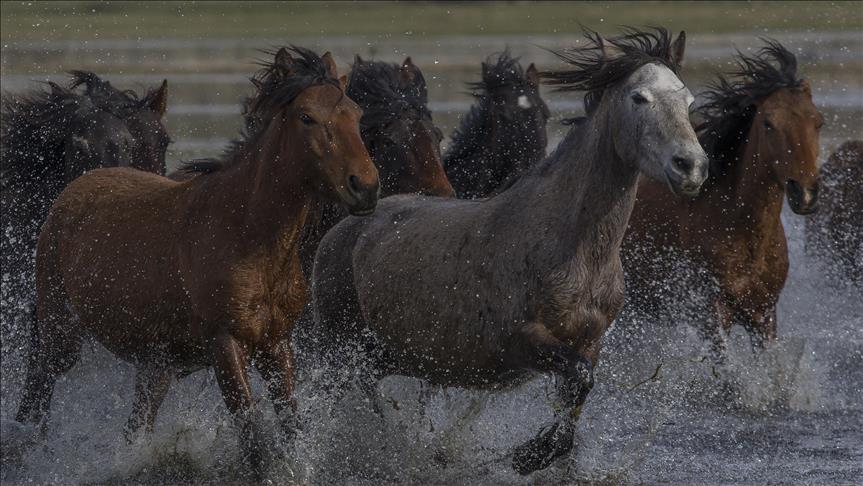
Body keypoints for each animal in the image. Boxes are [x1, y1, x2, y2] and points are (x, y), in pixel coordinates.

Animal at [15, 46, 380, 474]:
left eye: (355, 113)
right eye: (307, 117)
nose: (365, 186)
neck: (249, 237)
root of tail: (70, 195)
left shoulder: (277, 345)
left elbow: (291, 428)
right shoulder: (225, 344)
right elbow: (254, 439)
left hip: (154, 364)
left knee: (136, 424)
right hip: (62, 334)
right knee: (39, 384)